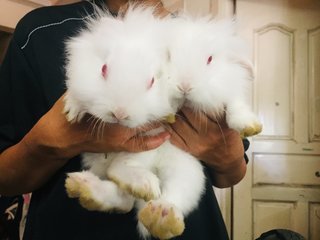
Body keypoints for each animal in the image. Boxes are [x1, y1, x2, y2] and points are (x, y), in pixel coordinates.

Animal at [63, 5, 205, 240]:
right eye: (103, 69)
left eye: (152, 81)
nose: (120, 113)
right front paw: (71, 109)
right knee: (124, 199)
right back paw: (86, 189)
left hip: (185, 169)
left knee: (163, 191)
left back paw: (158, 210)